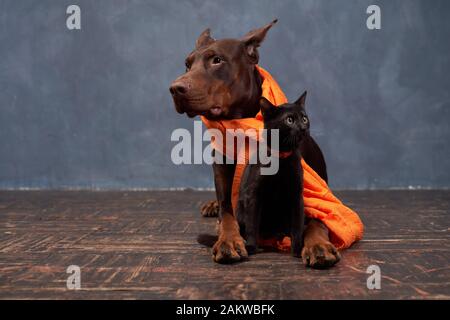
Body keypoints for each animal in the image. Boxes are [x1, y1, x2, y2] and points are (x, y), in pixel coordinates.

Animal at [236, 90, 310, 258]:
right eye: (289, 120)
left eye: (304, 118)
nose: (303, 127)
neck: (281, 159)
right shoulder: (254, 193)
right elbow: (252, 224)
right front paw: (251, 246)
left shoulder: (296, 195)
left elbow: (296, 225)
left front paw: (297, 249)